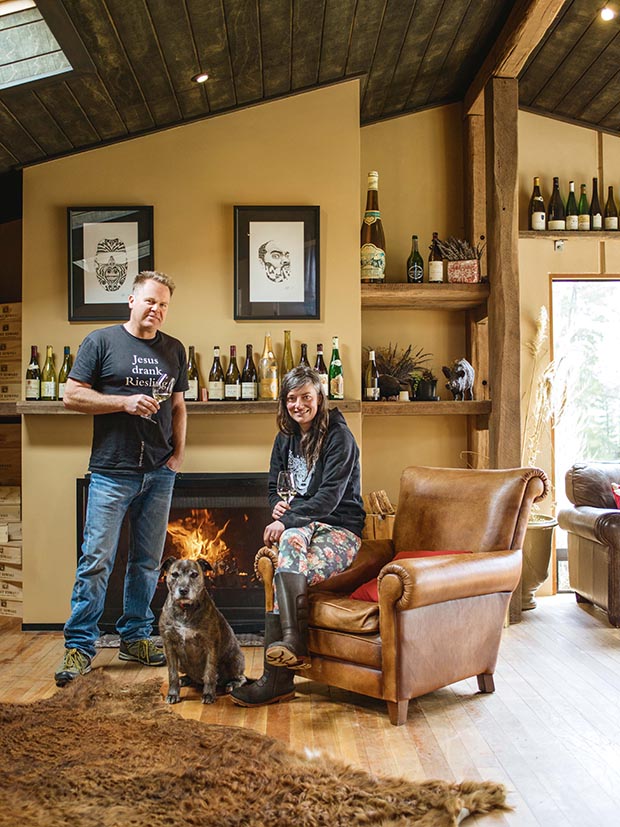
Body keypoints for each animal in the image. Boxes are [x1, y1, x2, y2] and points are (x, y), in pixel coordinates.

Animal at [159, 556, 246, 704]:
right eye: (174, 574)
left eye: (194, 574)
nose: (183, 590)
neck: (185, 609)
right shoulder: (169, 646)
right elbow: (172, 674)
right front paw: (173, 694)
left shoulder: (210, 645)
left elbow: (210, 672)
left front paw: (209, 694)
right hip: (181, 663)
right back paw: (185, 679)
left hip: (233, 659)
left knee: (241, 677)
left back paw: (232, 684)